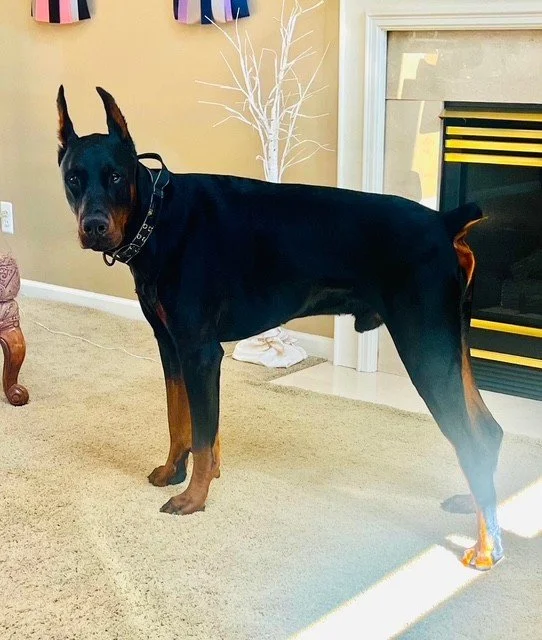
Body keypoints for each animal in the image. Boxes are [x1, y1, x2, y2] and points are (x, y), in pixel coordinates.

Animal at [56, 86, 505, 570]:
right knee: (487, 430)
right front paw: (174, 471)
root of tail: (444, 221)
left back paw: (487, 547)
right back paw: (478, 506)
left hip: (426, 347)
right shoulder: (170, 345)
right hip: (452, 341)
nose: (94, 226)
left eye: (116, 176)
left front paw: (194, 497)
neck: (158, 217)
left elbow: (201, 433)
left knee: (472, 438)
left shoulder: (199, 350)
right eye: (74, 178)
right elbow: (181, 420)